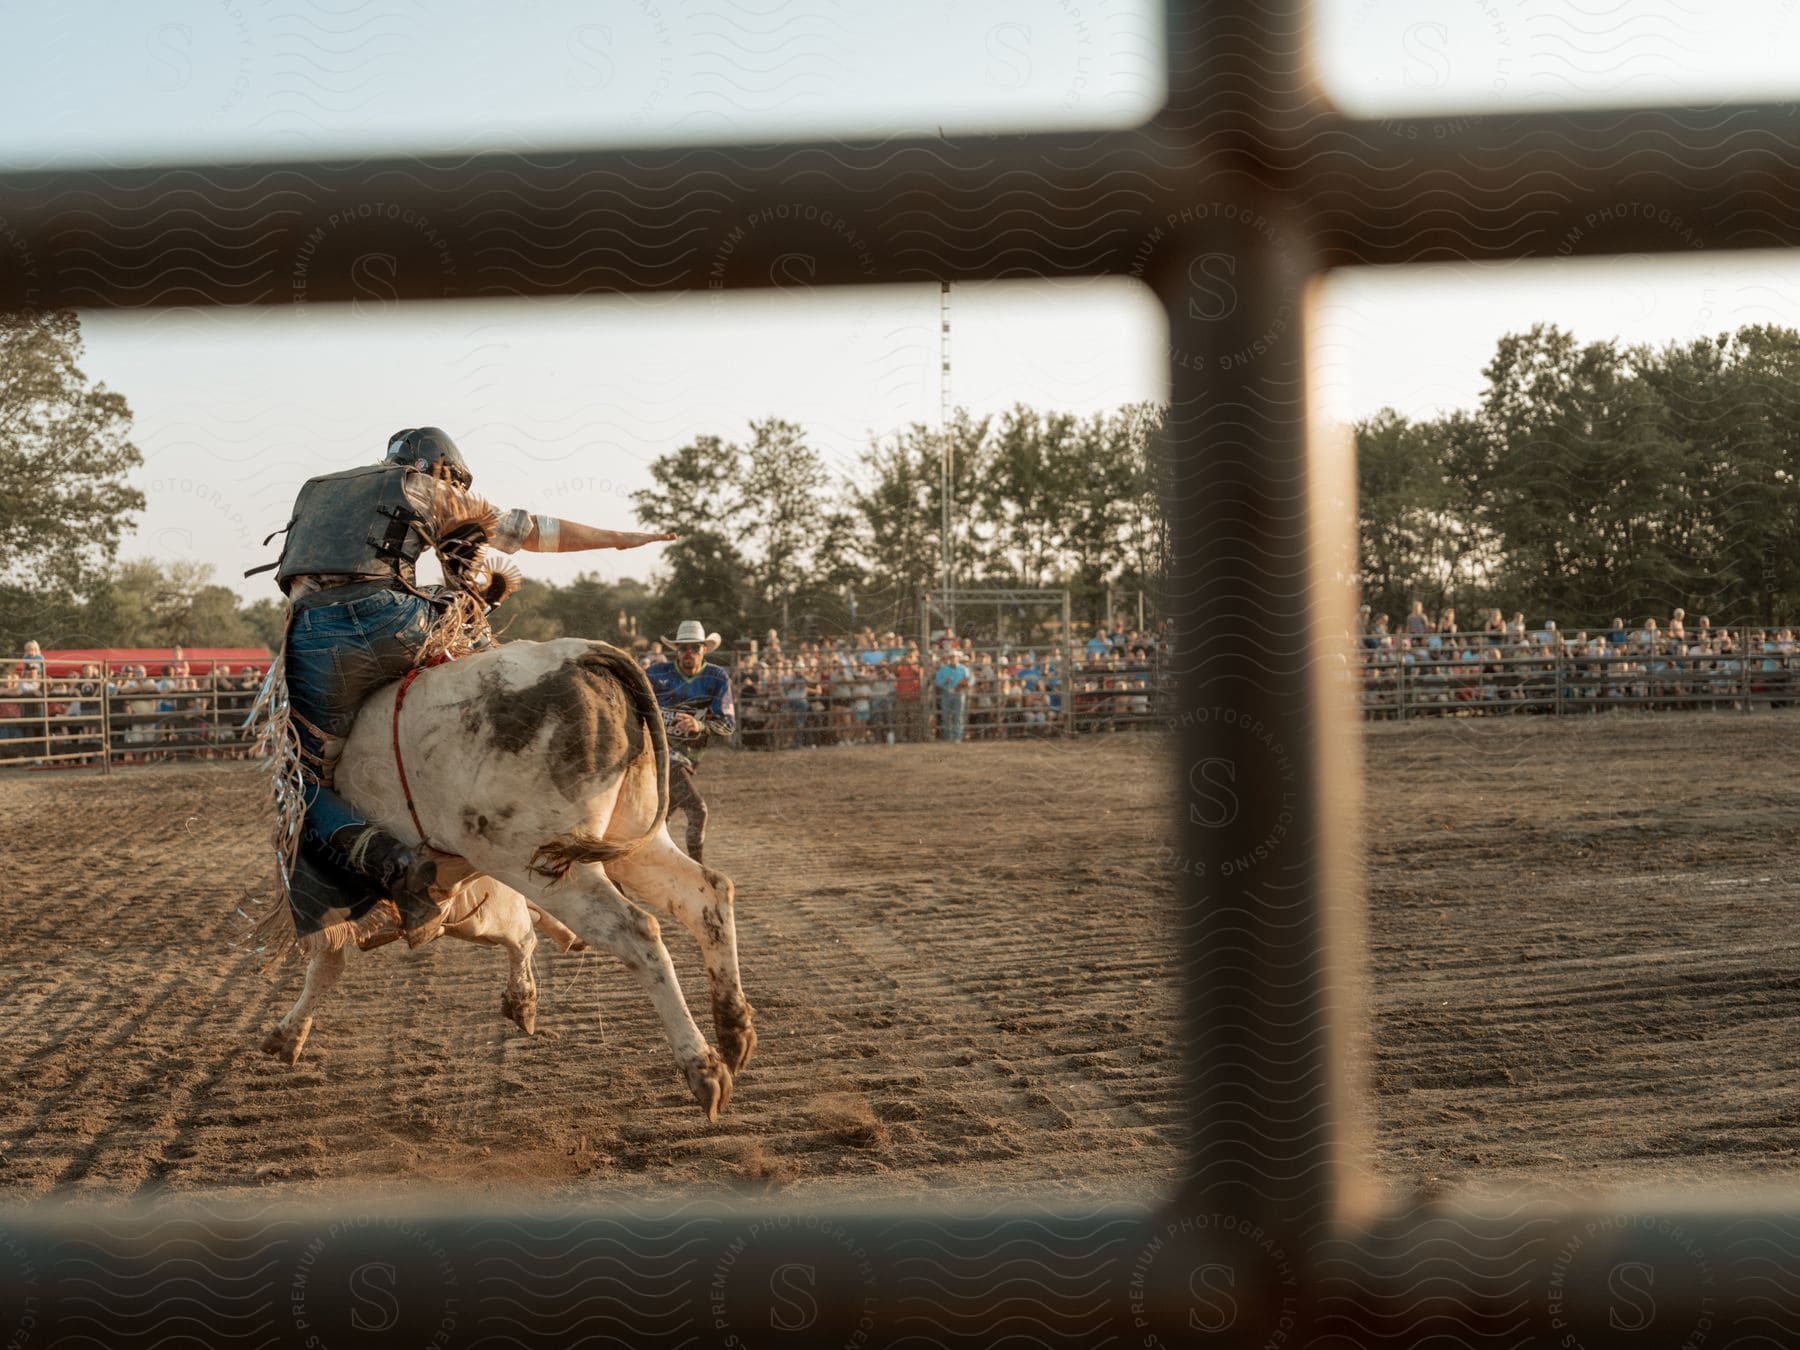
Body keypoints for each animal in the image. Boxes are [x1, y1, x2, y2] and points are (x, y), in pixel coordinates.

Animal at [253, 640, 752, 1123]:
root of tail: (582, 655)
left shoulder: (322, 889)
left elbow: (326, 959)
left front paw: (287, 1034)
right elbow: (517, 934)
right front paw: (522, 1000)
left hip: (544, 863)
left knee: (637, 930)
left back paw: (703, 1066)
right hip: (628, 840)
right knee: (707, 893)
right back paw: (734, 1035)